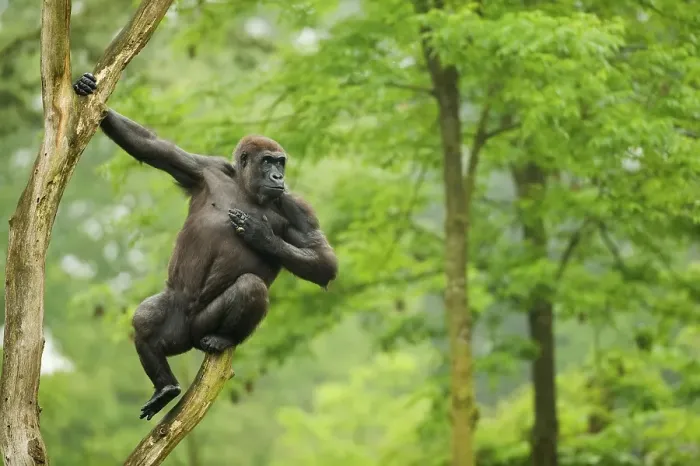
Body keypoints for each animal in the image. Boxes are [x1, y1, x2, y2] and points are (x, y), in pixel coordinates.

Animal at [73, 72, 338, 420]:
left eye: (280, 163)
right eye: (268, 161)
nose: (278, 176)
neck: (245, 188)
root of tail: (188, 338)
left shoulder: (297, 207)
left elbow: (323, 260)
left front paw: (261, 236)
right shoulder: (204, 167)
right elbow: (152, 147)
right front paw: (90, 92)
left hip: (199, 328)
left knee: (250, 287)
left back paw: (221, 339)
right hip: (174, 321)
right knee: (146, 318)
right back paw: (165, 386)